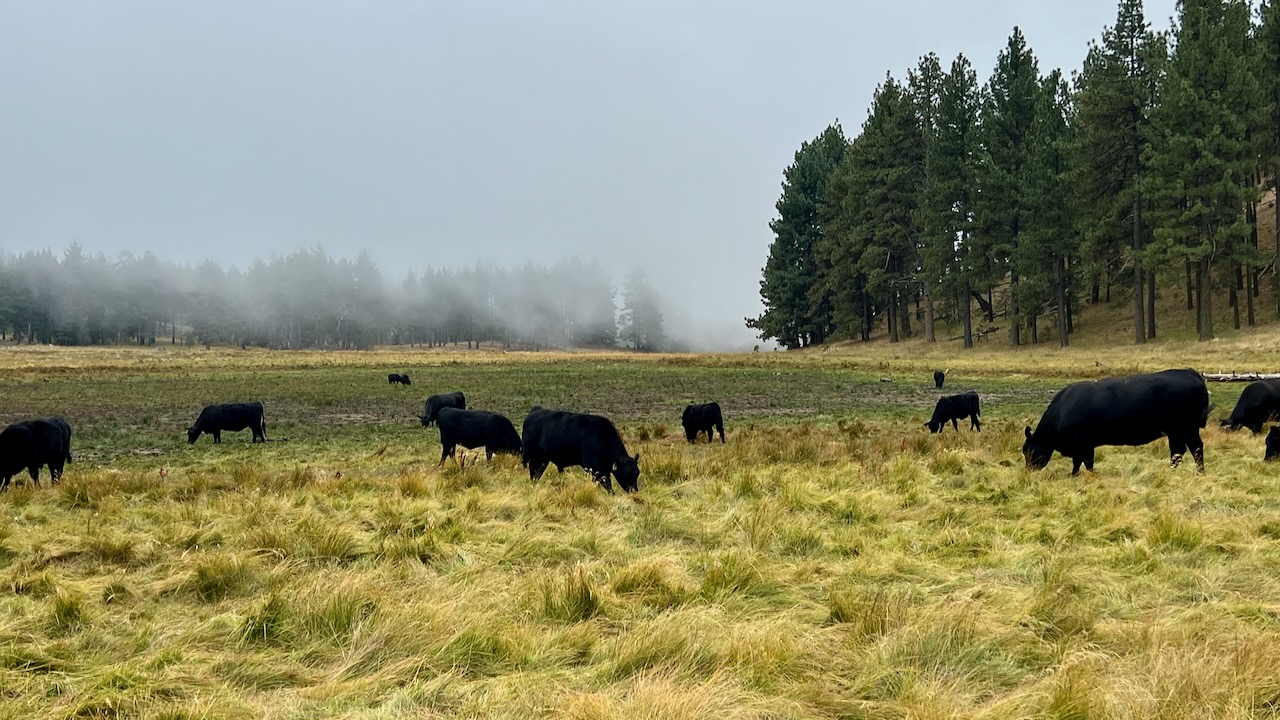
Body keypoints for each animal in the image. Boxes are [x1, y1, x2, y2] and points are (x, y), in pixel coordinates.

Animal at [1018, 366, 1208, 474]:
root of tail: (1192, 373)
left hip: (1186, 427)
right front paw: (1074, 476)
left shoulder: (1085, 443)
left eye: (1028, 450)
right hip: (1177, 431)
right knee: (1180, 451)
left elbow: (1087, 462)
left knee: (1194, 449)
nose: (1028, 472)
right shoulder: (1079, 447)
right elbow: (1076, 463)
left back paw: (1197, 473)